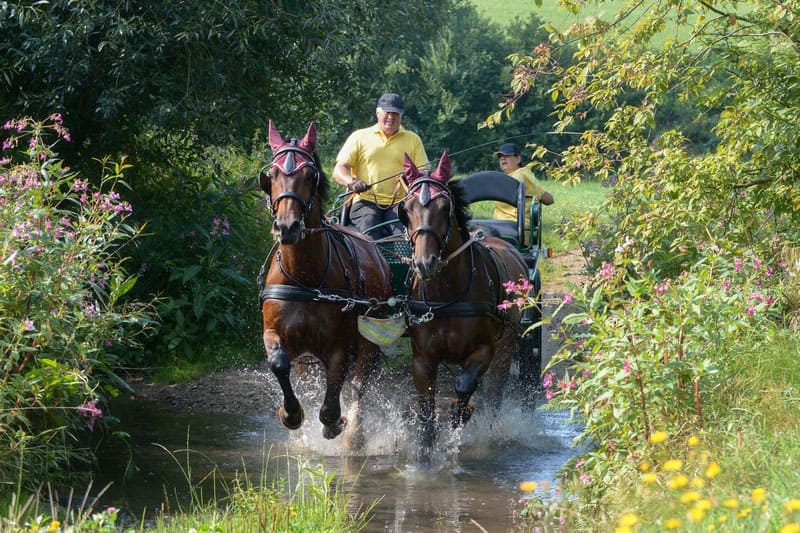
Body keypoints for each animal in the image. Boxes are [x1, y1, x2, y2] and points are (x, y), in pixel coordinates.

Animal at [257, 120, 393, 448]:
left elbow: (336, 390)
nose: (287, 227)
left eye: (309, 175)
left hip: (370, 334)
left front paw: (334, 423)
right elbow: (278, 364)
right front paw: (291, 414)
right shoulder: (275, 333)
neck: (306, 277)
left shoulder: (339, 345)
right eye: (273, 175)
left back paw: (354, 433)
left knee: (357, 382)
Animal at [397, 152, 528, 454]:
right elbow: (426, 404)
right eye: (406, 209)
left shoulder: (484, 350)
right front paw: (426, 447)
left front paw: (461, 416)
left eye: (445, 207)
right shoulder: (423, 357)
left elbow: (465, 384)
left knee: (494, 391)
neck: (446, 295)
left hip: (507, 343)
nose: (425, 262)